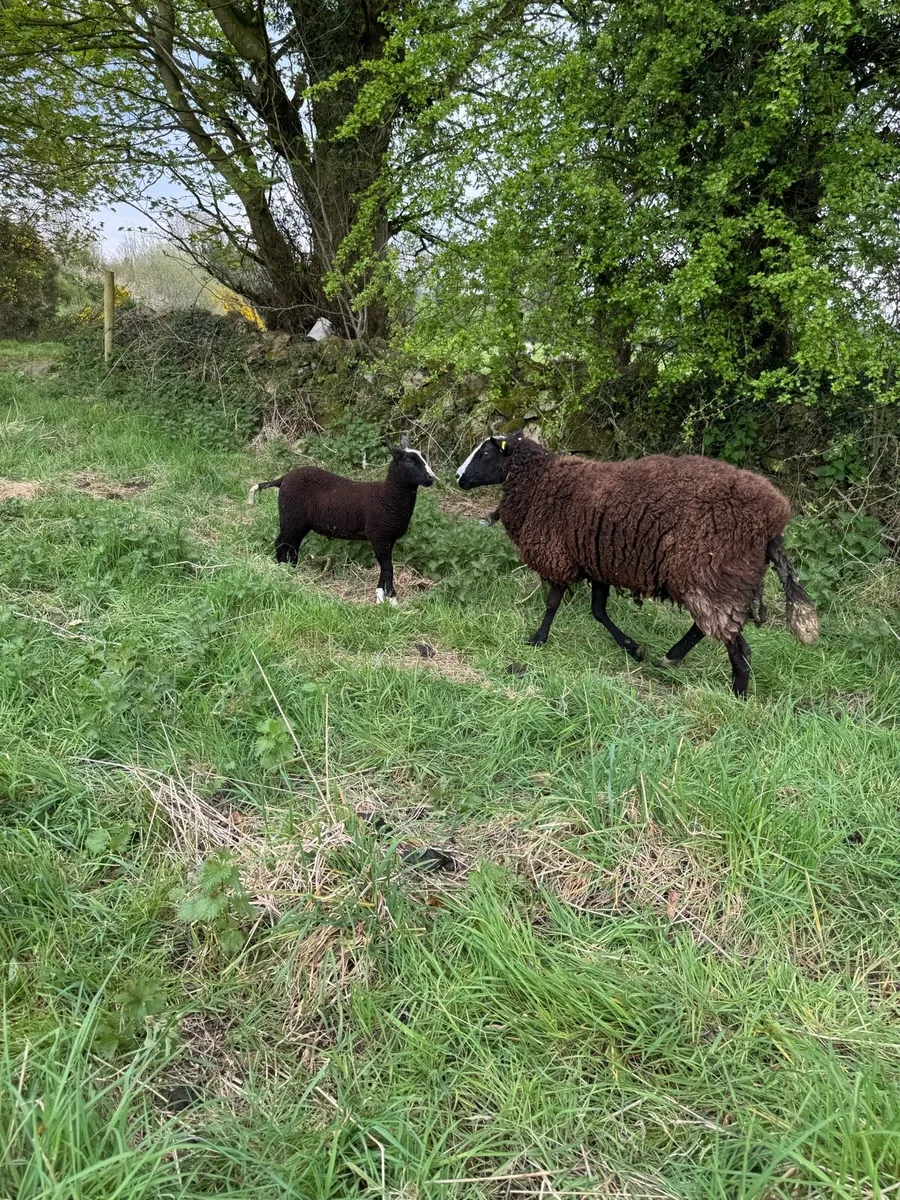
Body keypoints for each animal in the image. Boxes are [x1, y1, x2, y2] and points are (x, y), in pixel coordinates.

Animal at [248, 435, 436, 605]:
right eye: (409, 461)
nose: (431, 478)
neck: (388, 496)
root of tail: (283, 478)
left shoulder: (389, 538)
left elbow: (385, 567)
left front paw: (381, 597)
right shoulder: (378, 535)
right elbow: (388, 568)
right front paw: (392, 599)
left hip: (298, 521)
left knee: (288, 544)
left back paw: (288, 571)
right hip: (292, 517)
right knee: (284, 543)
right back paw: (285, 572)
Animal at [456, 430, 819, 696]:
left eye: (485, 453)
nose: (458, 477)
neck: (539, 481)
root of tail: (772, 524)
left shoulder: (557, 555)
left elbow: (553, 603)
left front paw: (537, 639)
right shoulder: (597, 560)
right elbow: (599, 611)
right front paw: (633, 648)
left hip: (712, 573)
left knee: (736, 645)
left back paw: (737, 694)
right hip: (713, 578)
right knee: (709, 628)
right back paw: (670, 658)